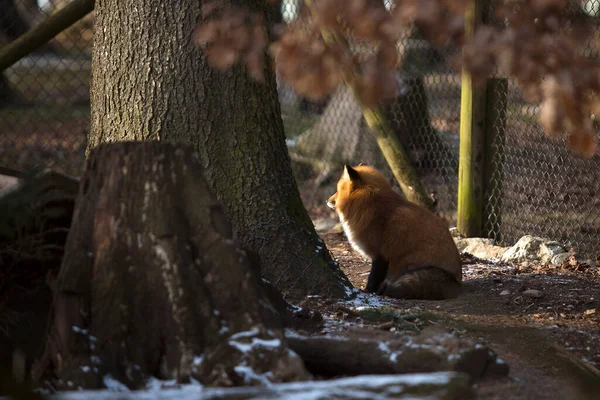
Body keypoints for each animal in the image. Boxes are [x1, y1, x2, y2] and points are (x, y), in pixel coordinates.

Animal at [328, 164, 460, 298]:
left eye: (338, 190)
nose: (327, 201)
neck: (372, 206)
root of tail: (458, 283)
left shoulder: (380, 255)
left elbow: (373, 278)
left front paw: (368, 292)